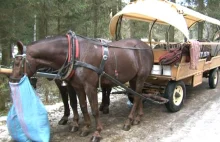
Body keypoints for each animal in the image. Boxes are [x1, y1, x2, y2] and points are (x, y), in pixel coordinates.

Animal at [9, 32, 153, 141]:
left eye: (18, 63)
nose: (12, 80)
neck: (75, 53)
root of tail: (146, 47)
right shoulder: (77, 86)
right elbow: (82, 106)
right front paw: (86, 127)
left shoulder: (90, 87)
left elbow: (94, 109)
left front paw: (97, 132)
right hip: (133, 78)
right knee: (138, 96)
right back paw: (138, 118)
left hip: (141, 77)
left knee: (136, 97)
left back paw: (128, 121)